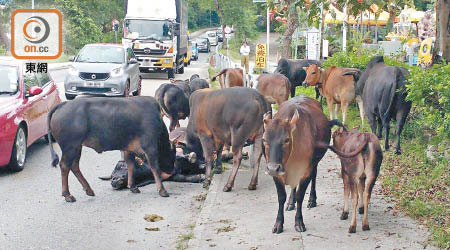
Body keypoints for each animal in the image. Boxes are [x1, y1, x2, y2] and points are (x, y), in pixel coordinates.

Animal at [264, 94, 366, 233]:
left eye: (286, 139)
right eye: (264, 139)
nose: (273, 168)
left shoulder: (306, 171)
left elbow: (300, 195)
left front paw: (299, 222)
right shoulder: (277, 174)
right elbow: (281, 197)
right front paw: (278, 223)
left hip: (315, 163)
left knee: (314, 176)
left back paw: (312, 200)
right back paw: (291, 203)